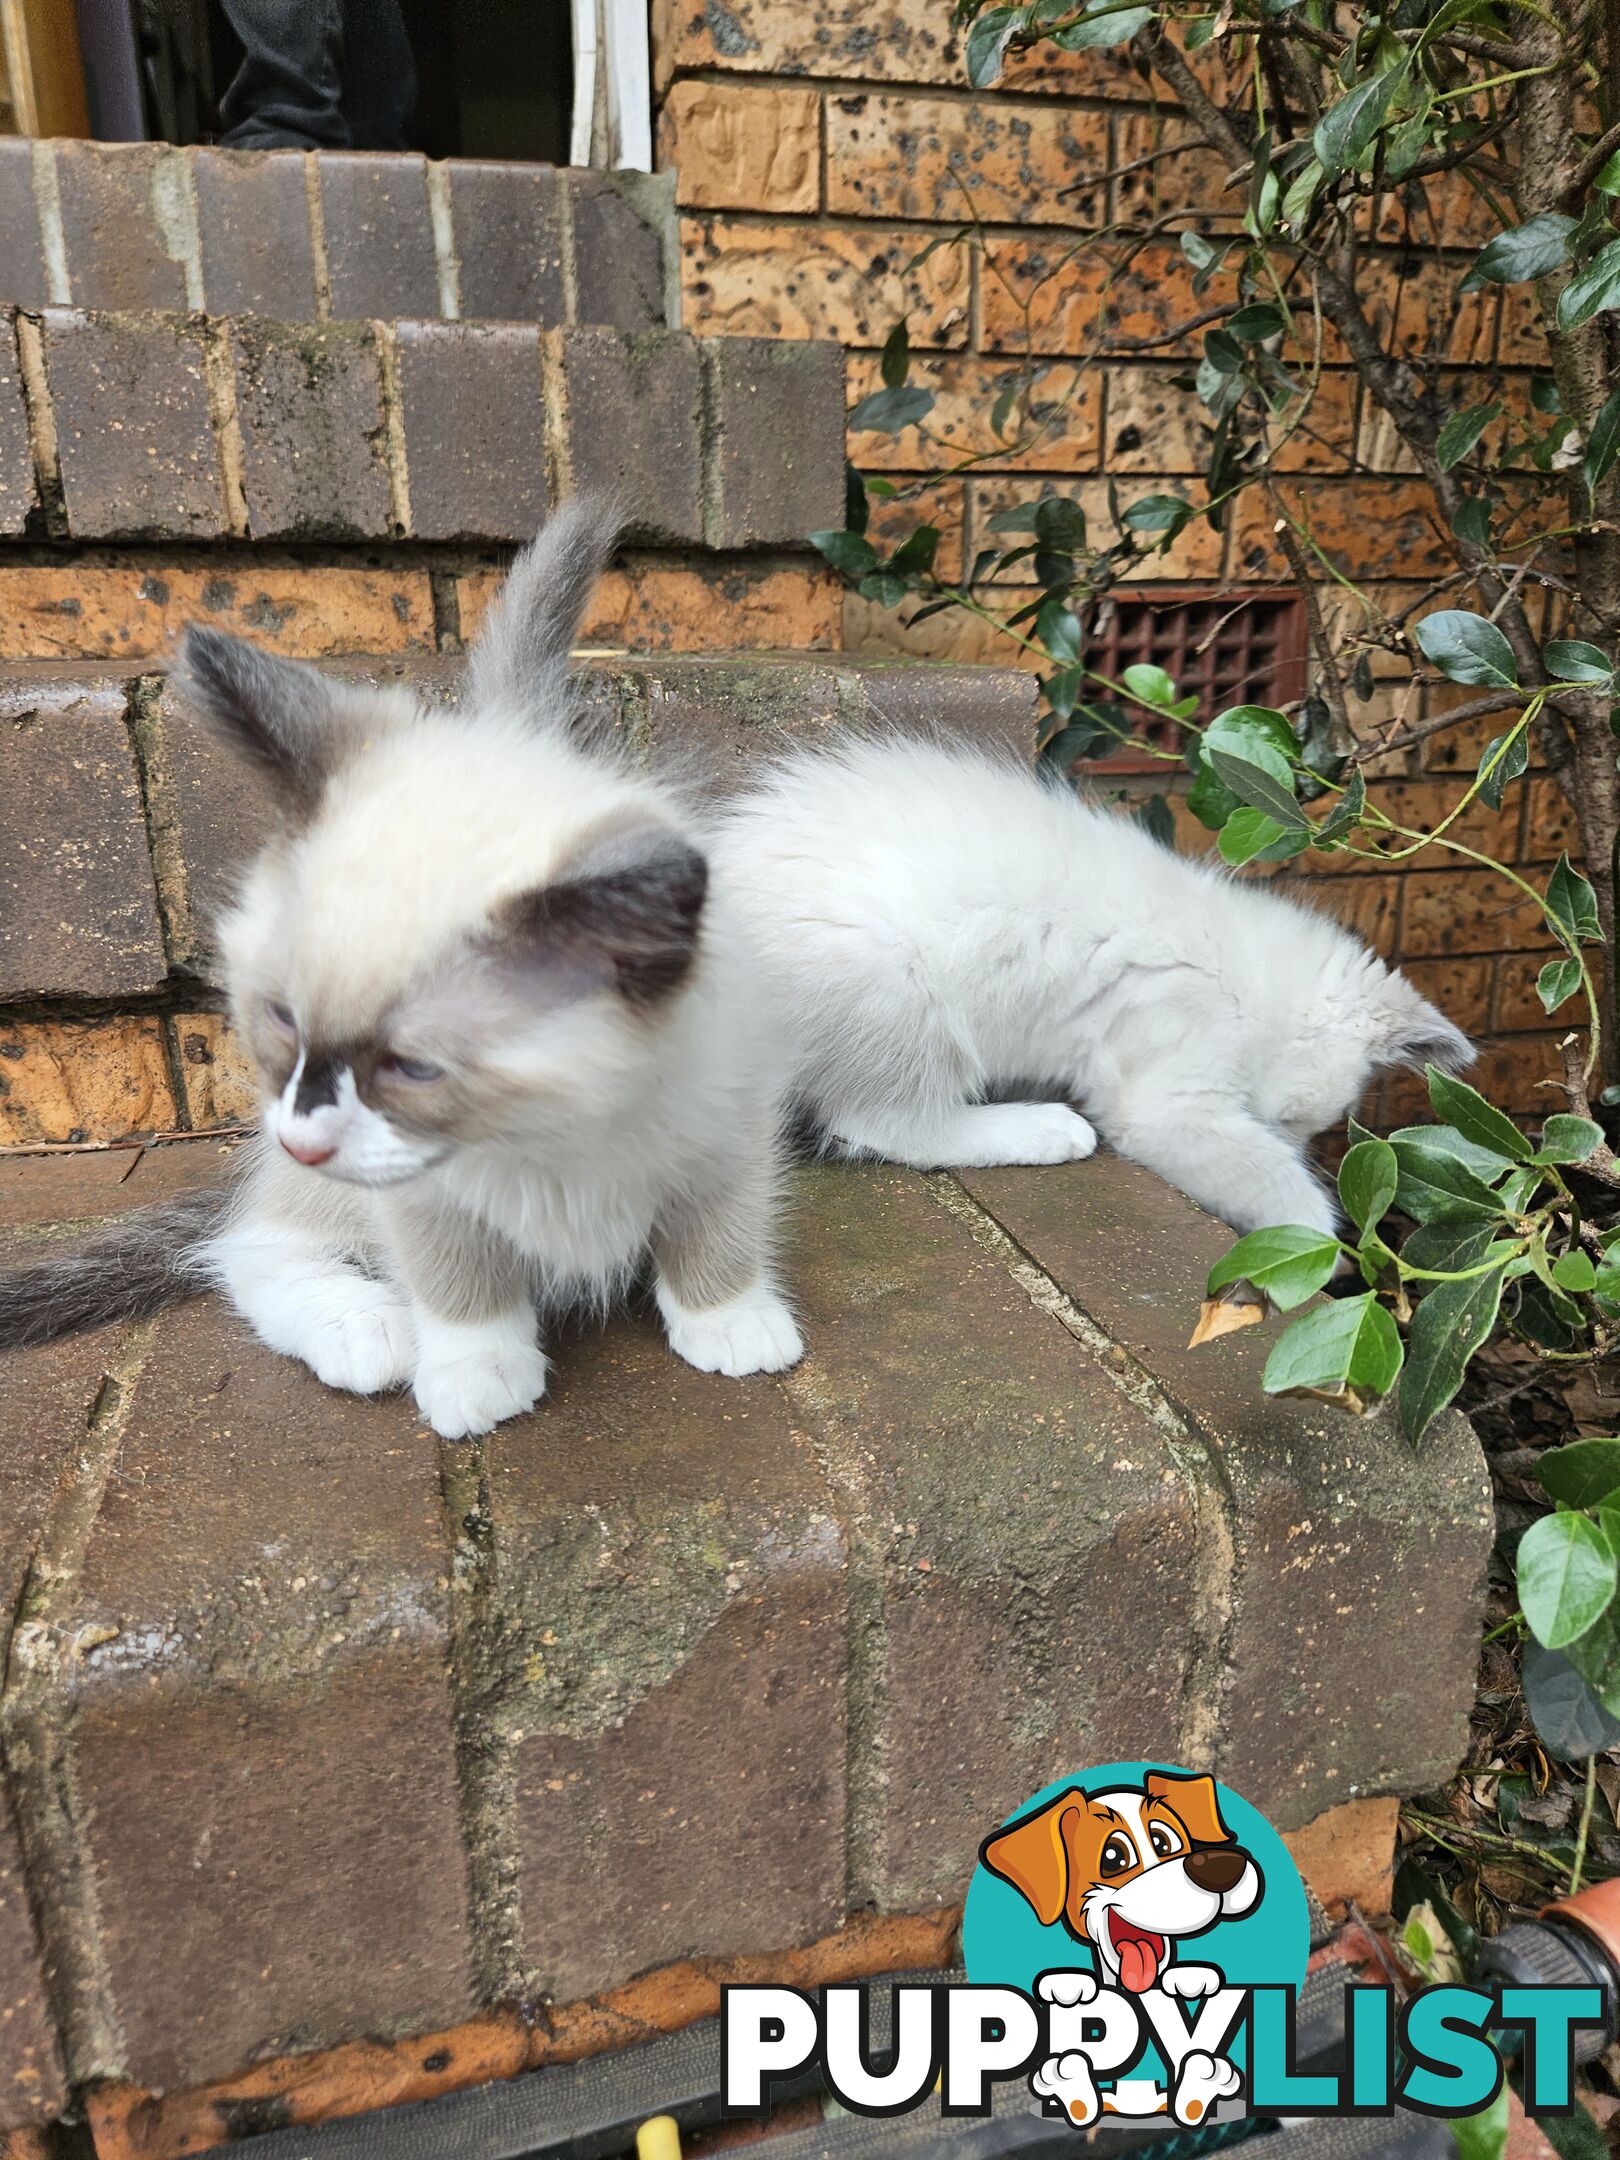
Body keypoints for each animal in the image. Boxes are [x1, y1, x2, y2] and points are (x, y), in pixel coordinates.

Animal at [0, 494, 807, 1425]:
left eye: (412, 1067)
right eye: (280, 1020)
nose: (304, 1139)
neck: (550, 1137)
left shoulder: (729, 1125)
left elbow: (719, 1229)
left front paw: (729, 1321)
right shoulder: (417, 1191)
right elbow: (458, 1281)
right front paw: (476, 1372)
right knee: (250, 1245)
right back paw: (368, 1330)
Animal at [717, 738, 1477, 1244]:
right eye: (1291, 1124)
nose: (1290, 1135)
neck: (1250, 977)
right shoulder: (1169, 1103)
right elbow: (1282, 1190)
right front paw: (1318, 1254)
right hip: (904, 997)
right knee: (885, 1123)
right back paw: (1044, 1129)